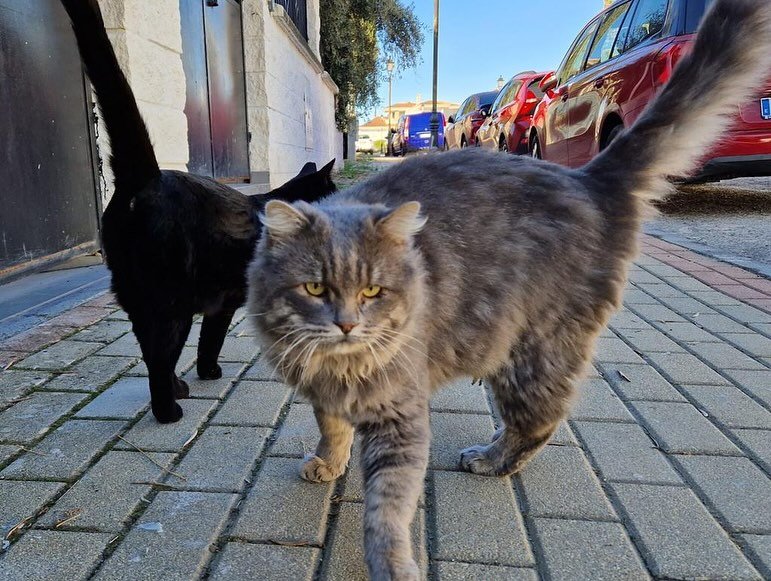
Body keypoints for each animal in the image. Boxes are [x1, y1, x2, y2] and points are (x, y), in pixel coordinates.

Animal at [60, 0, 338, 420]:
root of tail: (146, 178)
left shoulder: (221, 301)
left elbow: (212, 338)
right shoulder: (225, 303)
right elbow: (213, 339)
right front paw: (211, 371)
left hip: (139, 301)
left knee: (151, 354)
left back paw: (178, 389)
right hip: (171, 304)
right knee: (160, 357)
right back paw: (168, 410)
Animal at [247, 2, 771, 576]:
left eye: (372, 292)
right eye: (315, 287)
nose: (346, 324)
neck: (339, 368)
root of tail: (587, 180)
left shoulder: (401, 416)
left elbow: (387, 508)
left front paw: (391, 562)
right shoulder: (324, 392)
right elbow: (332, 426)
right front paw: (328, 462)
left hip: (533, 353)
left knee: (541, 423)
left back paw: (491, 458)